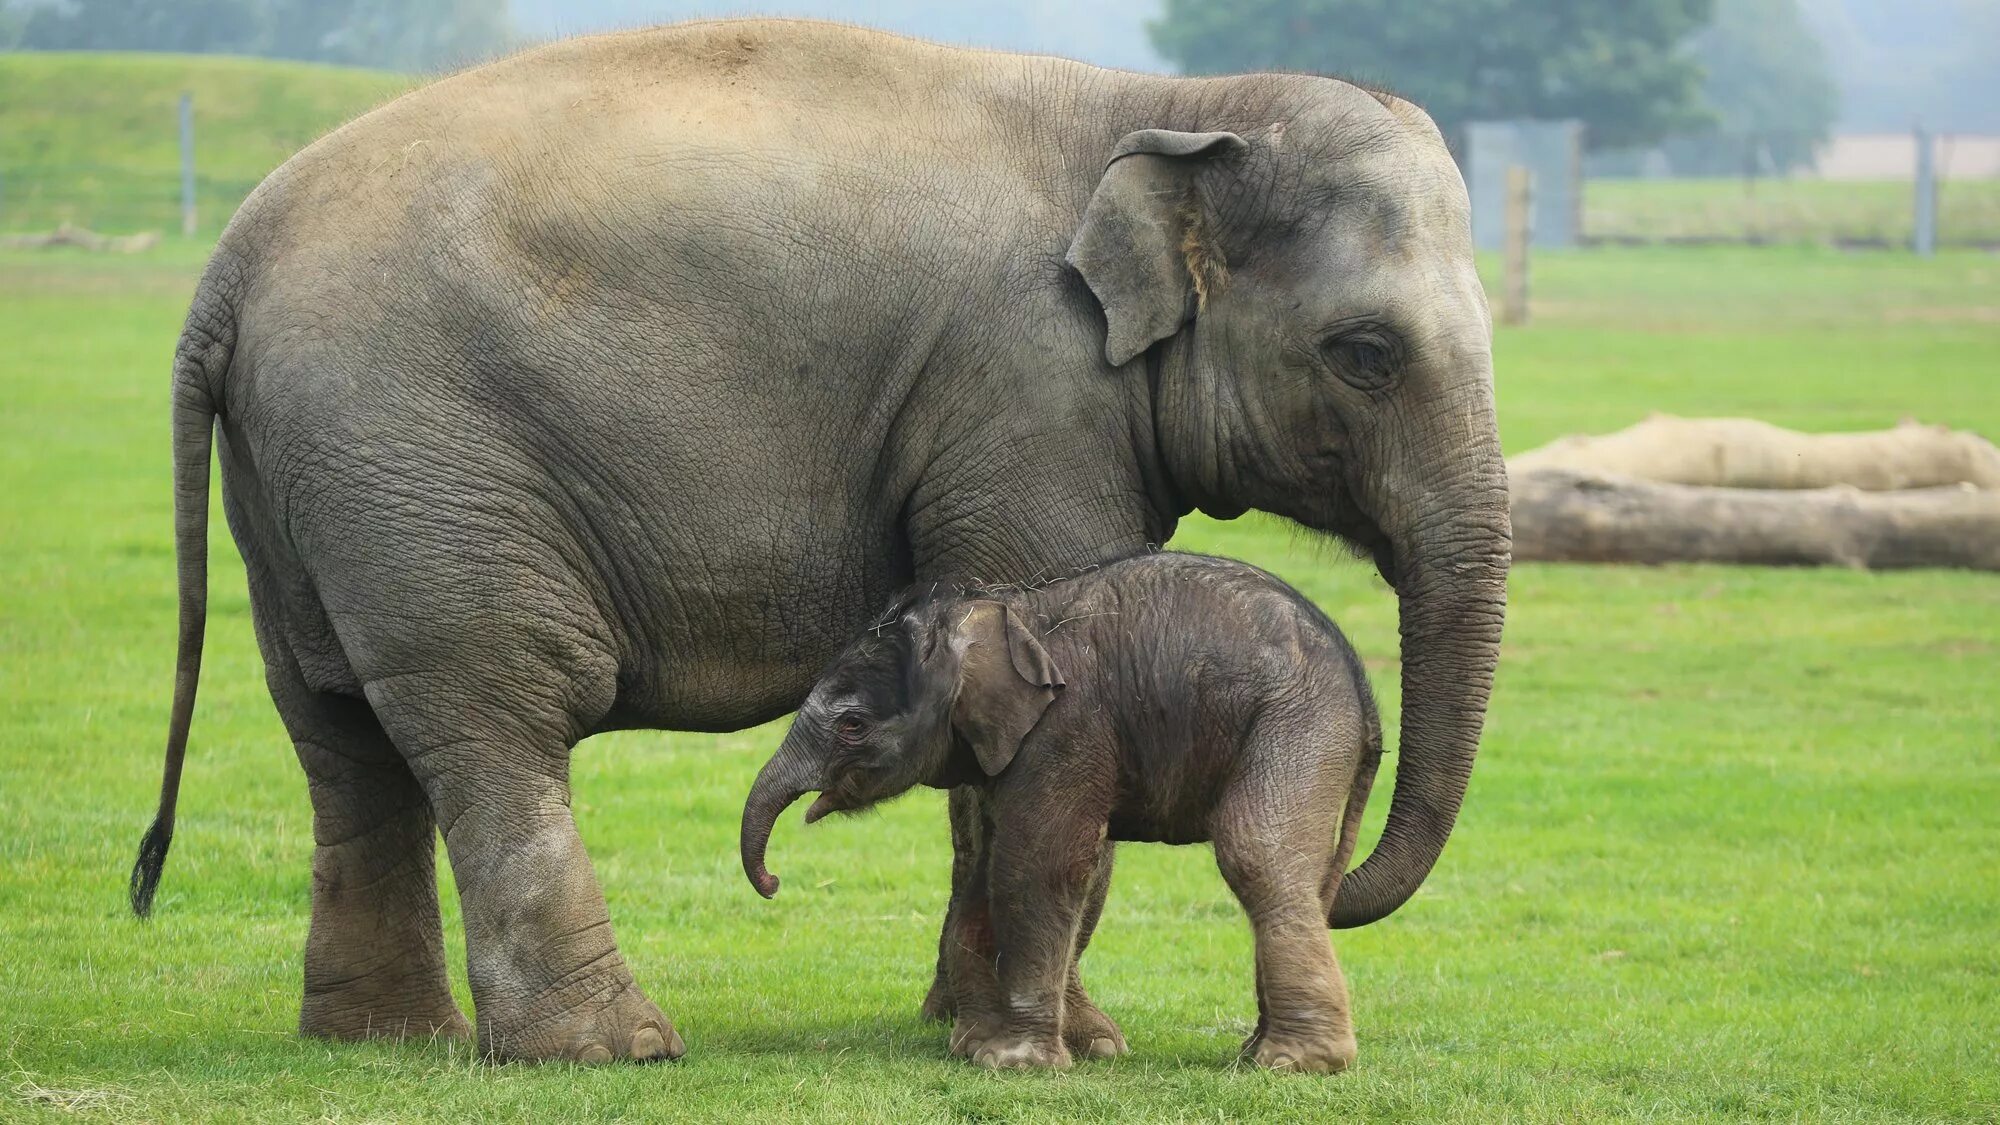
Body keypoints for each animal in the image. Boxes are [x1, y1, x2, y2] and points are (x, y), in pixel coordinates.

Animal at [744, 552, 1384, 1064]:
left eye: (853, 725)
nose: (774, 882)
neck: (994, 614)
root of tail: (1363, 689)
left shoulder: (1065, 730)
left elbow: (1036, 866)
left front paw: (1016, 1064)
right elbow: (987, 871)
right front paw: (973, 1048)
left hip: (1297, 725)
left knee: (1256, 854)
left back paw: (1293, 1063)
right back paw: (1260, 1052)